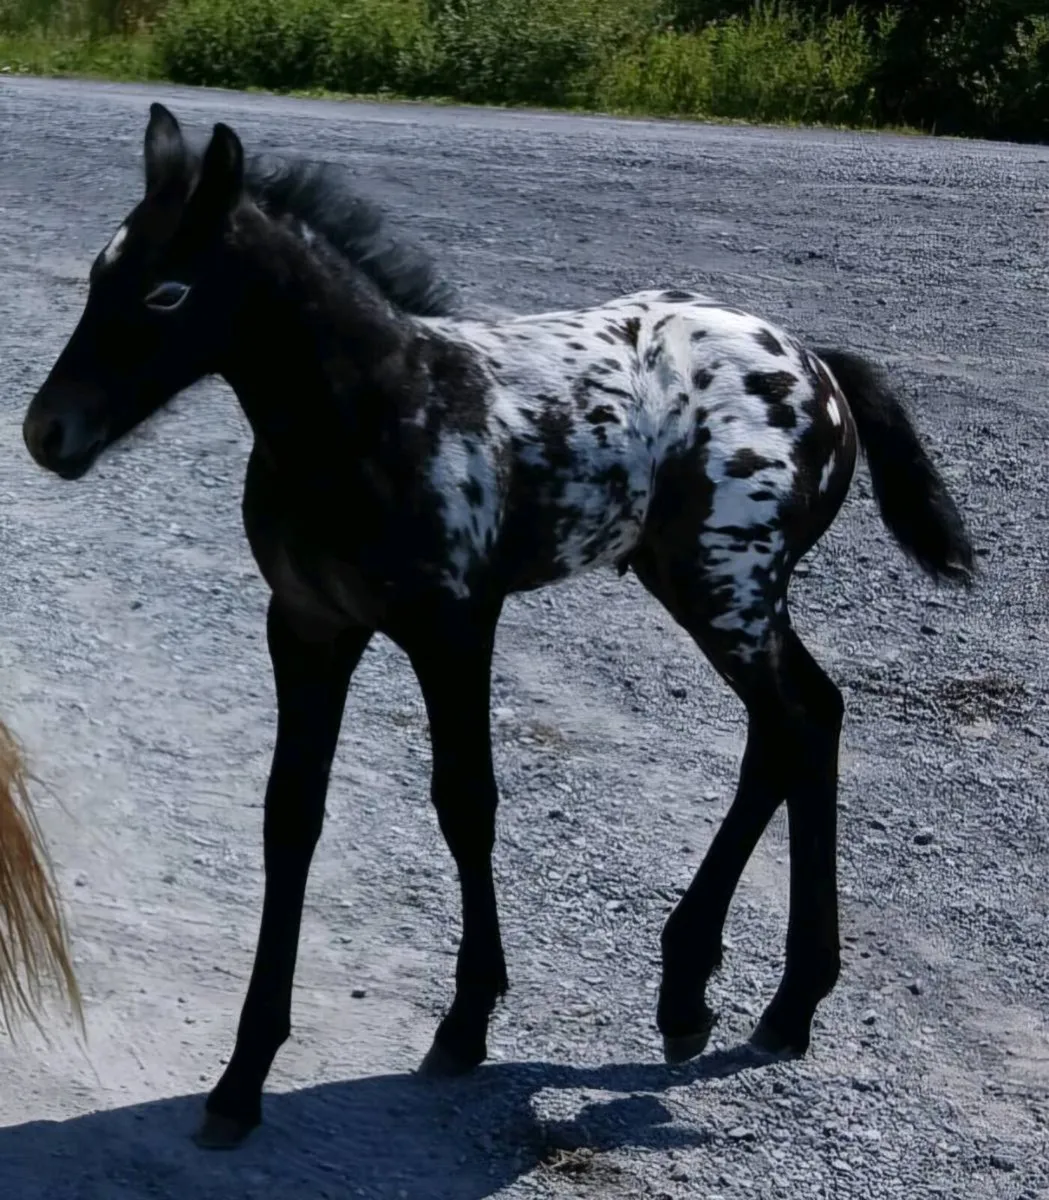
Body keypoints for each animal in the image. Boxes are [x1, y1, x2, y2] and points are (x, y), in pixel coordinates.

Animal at [21, 102, 974, 1149]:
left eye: (167, 292)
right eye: (100, 274)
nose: (47, 433)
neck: (379, 417)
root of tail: (814, 363)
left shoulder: (454, 626)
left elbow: (465, 803)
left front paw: (466, 1021)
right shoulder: (307, 626)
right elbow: (290, 817)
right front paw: (240, 1082)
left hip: (727, 585)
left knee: (795, 724)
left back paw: (772, 1002)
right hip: (707, 586)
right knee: (799, 722)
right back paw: (704, 992)